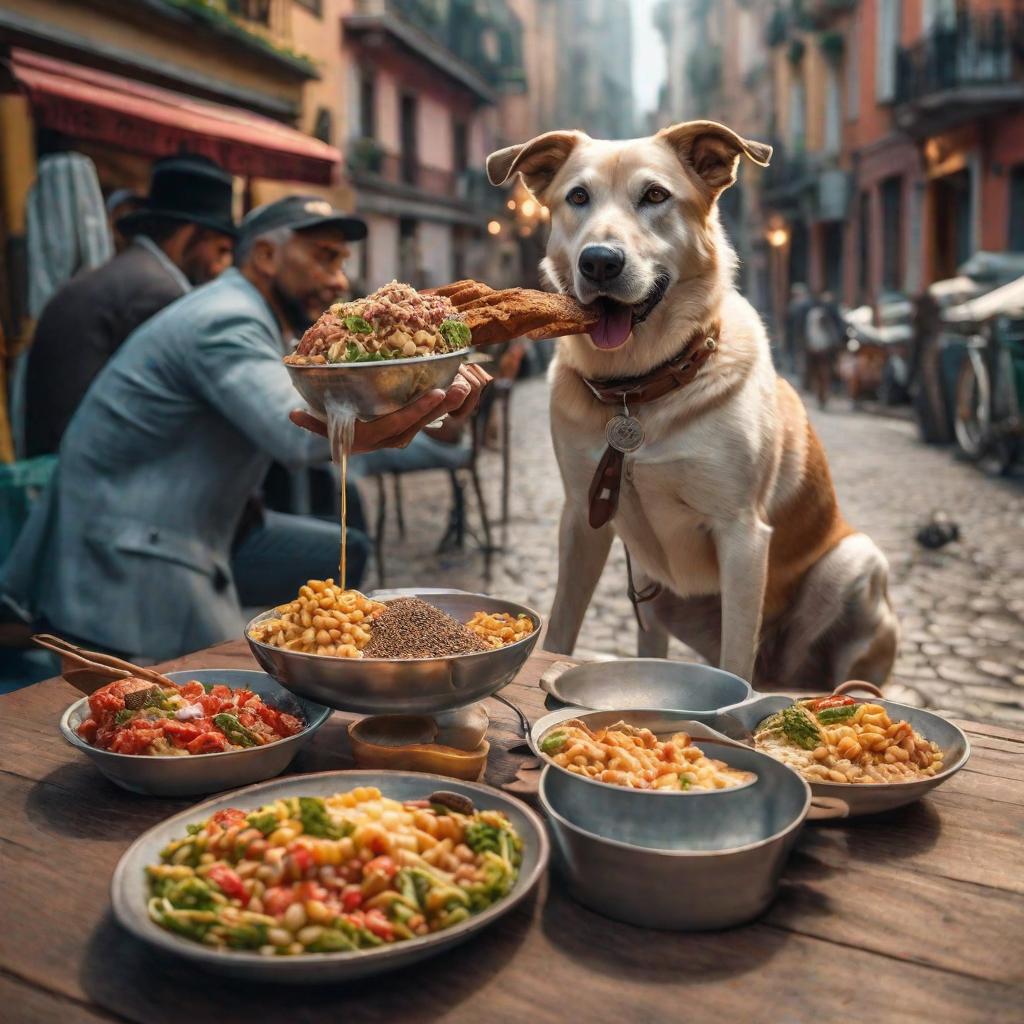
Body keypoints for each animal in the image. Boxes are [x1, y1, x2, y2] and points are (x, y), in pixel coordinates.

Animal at [485, 121, 897, 688]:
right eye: (578, 197)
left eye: (656, 196)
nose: (599, 261)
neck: (638, 390)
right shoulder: (580, 520)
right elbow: (561, 629)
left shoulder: (743, 535)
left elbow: (735, 662)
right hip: (653, 598)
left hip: (855, 563)